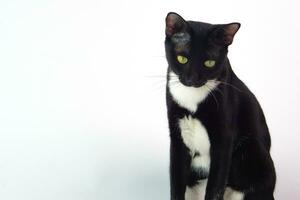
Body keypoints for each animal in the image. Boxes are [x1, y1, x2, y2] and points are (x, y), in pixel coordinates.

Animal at [165, 12, 276, 200]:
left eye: (209, 62)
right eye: (182, 58)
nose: (192, 79)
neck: (192, 99)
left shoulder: (224, 138)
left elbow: (216, 186)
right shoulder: (178, 136)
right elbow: (176, 181)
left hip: (254, 152)